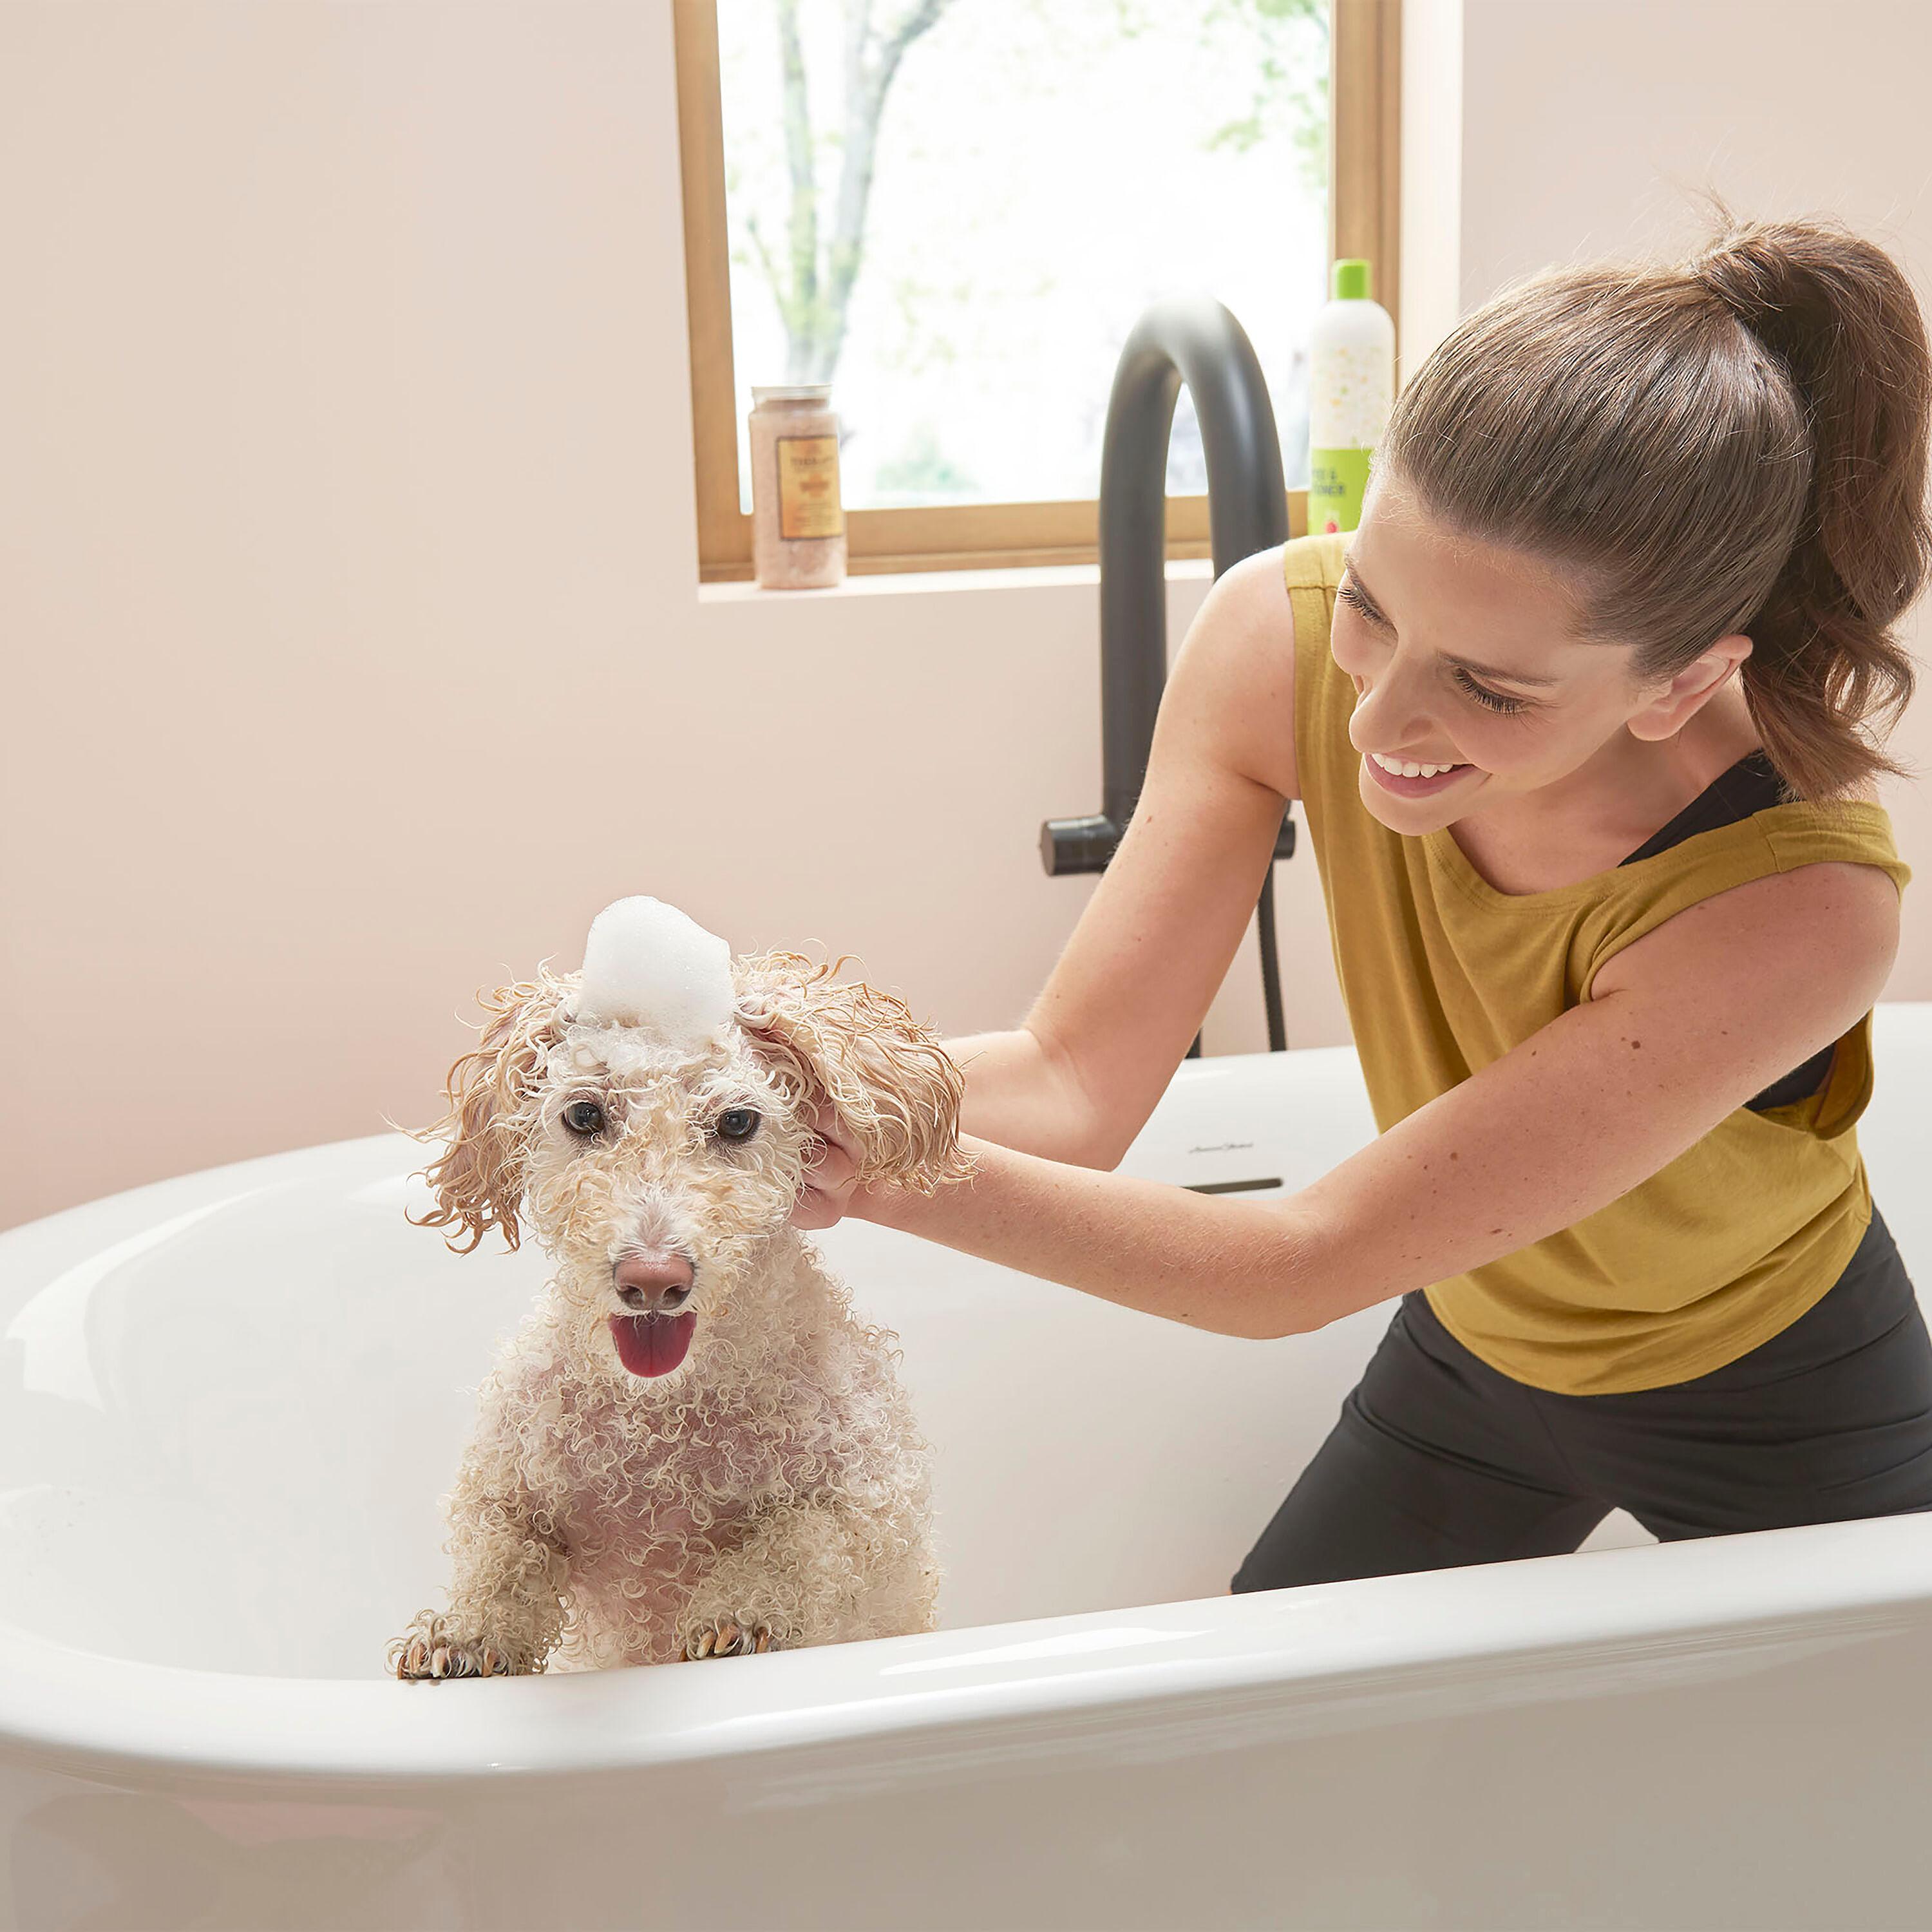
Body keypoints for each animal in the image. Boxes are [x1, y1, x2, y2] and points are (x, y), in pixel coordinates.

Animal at [386, 900, 974, 1677]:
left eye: (737, 1121)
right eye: (584, 1115)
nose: (653, 1280)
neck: (667, 1413)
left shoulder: (867, 1501)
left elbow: (798, 1545)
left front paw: (737, 1613)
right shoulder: (509, 1484)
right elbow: (500, 1557)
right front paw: (465, 1634)